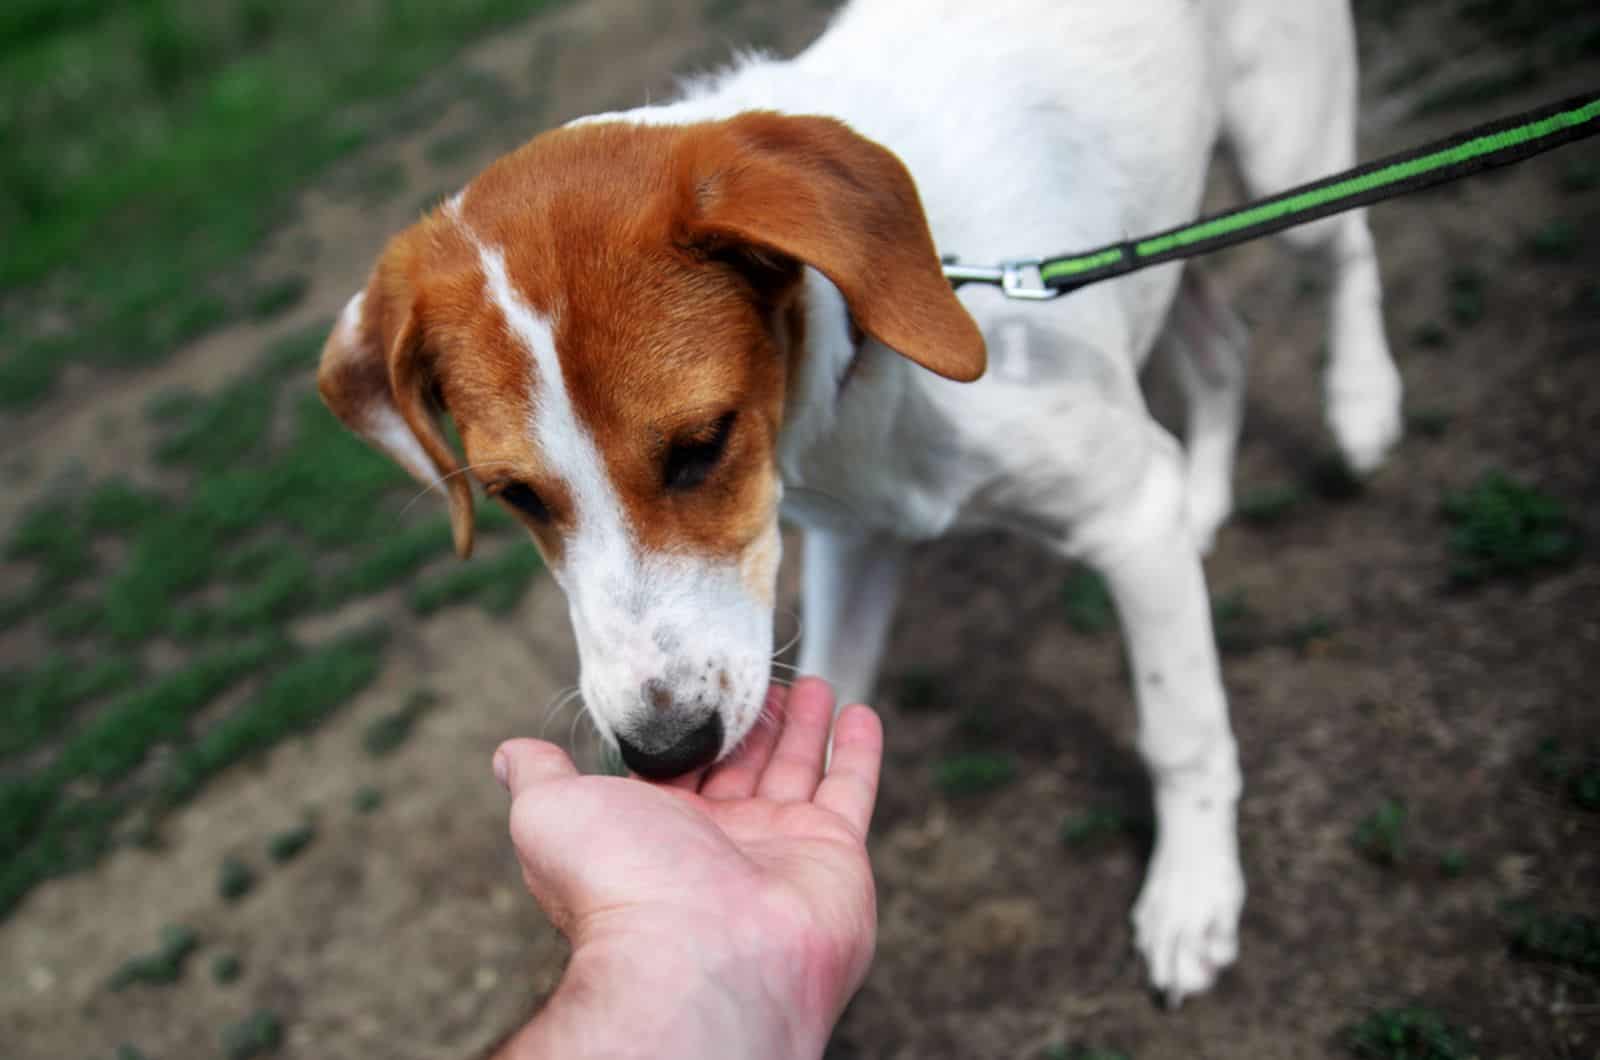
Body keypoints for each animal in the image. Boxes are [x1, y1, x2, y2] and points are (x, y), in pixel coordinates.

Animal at [315, 0, 1401, 1005]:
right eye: (514, 496)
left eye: (701, 445)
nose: (664, 754)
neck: (872, 353)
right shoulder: (857, 543)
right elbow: (834, 689)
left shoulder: (1122, 515)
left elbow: (1180, 729)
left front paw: (1192, 894)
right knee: (1218, 343)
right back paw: (1209, 493)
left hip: (1286, 151)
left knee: (1346, 247)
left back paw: (1362, 403)